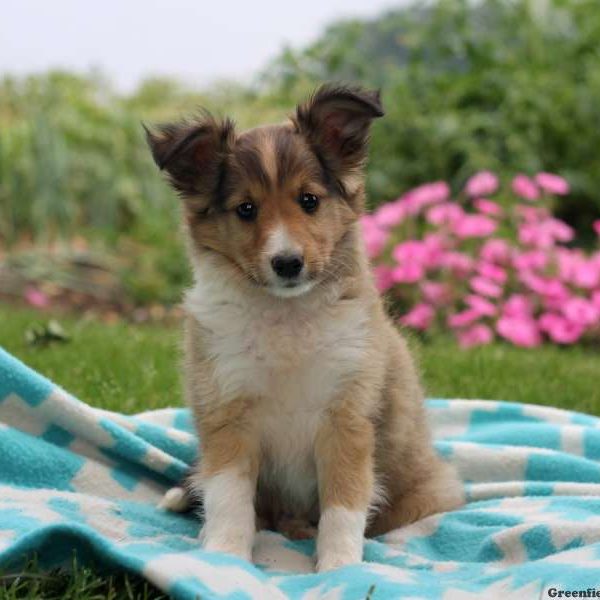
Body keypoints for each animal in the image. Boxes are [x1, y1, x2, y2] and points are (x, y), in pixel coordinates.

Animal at [146, 84, 464, 572]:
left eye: (309, 200)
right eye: (246, 209)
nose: (287, 263)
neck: (287, 315)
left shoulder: (346, 418)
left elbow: (344, 507)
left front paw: (339, 568)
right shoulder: (228, 412)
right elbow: (229, 499)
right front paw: (223, 558)